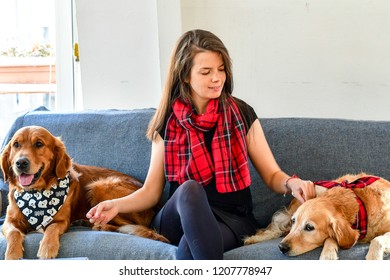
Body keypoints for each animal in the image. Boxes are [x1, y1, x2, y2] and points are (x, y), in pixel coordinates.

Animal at [1, 126, 169, 260]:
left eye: (39, 144)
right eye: (16, 144)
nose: (21, 163)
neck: (36, 193)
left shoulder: (62, 221)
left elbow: (51, 228)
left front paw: (47, 248)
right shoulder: (8, 222)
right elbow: (14, 233)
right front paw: (12, 254)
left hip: (99, 186)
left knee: (130, 225)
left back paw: (101, 226)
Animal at [244, 173, 390, 260]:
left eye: (309, 227)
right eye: (294, 221)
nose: (281, 247)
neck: (359, 205)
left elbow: (377, 240)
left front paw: (373, 257)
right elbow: (330, 239)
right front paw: (328, 255)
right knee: (276, 227)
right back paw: (253, 238)